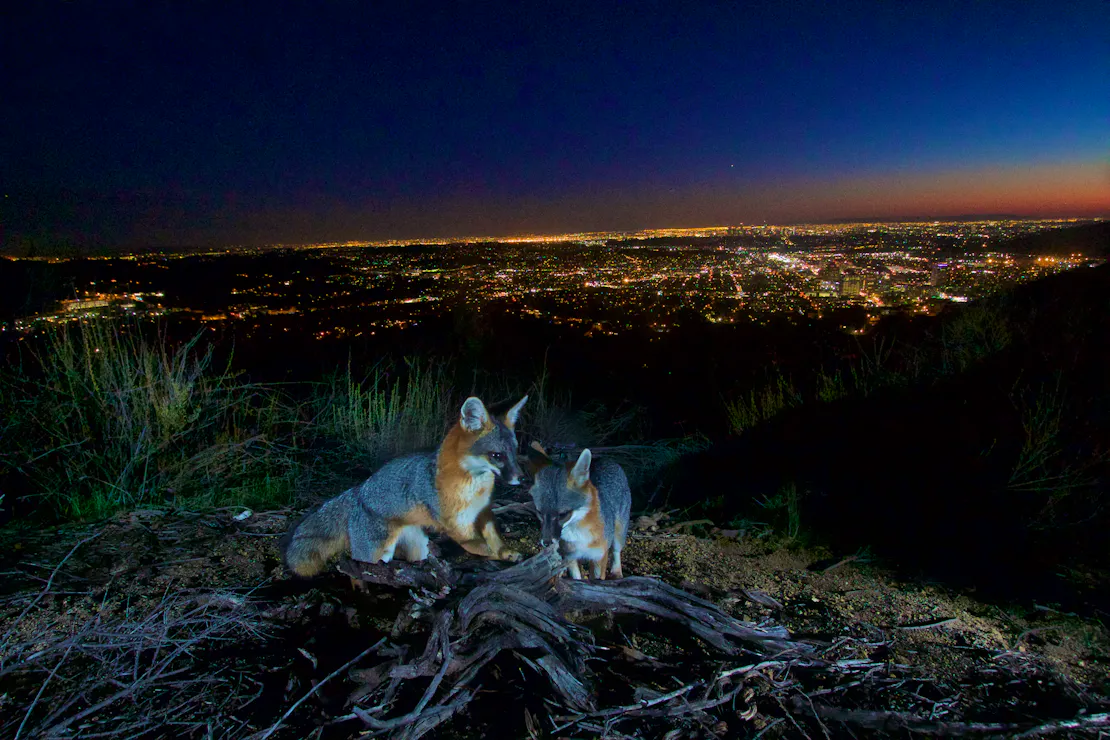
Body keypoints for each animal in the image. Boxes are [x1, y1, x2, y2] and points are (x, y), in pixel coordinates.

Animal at [282, 395, 528, 577]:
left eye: (514, 452)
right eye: (497, 456)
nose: (522, 478)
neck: (475, 489)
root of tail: (359, 491)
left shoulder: (483, 513)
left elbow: (495, 539)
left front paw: (506, 553)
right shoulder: (455, 523)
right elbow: (477, 545)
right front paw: (491, 555)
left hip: (419, 547)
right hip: (375, 553)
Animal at [529, 446, 631, 580]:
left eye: (563, 514)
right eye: (539, 512)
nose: (546, 543)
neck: (577, 533)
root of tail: (605, 459)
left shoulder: (599, 556)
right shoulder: (569, 556)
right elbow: (576, 578)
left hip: (619, 534)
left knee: (616, 551)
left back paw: (617, 571)